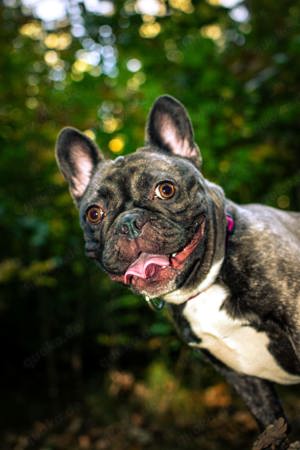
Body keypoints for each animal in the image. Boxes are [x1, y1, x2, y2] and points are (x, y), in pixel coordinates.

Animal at [56, 94, 300, 446]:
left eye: (166, 190)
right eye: (94, 214)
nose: (129, 222)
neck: (206, 284)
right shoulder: (244, 380)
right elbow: (272, 422)